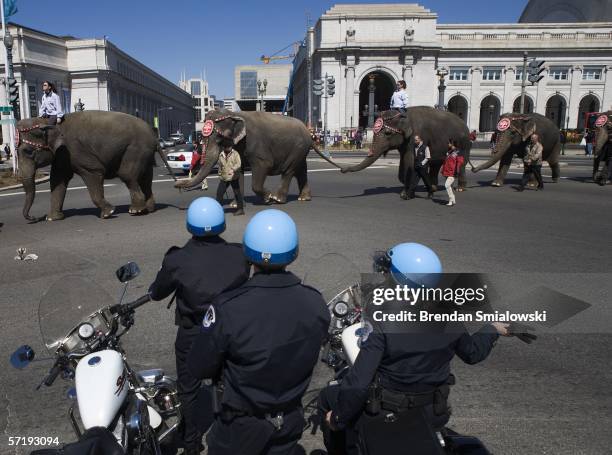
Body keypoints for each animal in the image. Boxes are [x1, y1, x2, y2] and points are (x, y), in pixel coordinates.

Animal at [17, 112, 171, 223]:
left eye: (28, 151)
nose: (36, 218)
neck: (49, 122)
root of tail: (154, 137)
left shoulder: (75, 150)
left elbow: (93, 173)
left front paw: (108, 213)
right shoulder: (62, 155)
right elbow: (58, 179)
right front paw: (52, 218)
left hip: (136, 149)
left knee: (128, 175)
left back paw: (135, 211)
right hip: (146, 154)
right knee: (146, 179)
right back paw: (149, 209)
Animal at [175, 110, 342, 203]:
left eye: (220, 138)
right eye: (202, 139)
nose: (177, 184)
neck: (236, 114)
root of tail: (310, 134)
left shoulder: (256, 144)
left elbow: (263, 166)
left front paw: (267, 198)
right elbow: (239, 170)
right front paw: (235, 204)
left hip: (298, 148)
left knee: (289, 171)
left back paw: (278, 199)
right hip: (301, 150)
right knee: (301, 171)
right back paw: (303, 198)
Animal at [342, 108, 470, 200]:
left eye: (388, 133)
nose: (342, 169)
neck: (403, 115)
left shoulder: (416, 136)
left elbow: (411, 163)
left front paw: (405, 194)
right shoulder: (405, 143)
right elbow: (405, 163)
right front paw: (406, 188)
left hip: (464, 143)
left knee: (461, 163)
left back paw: (460, 188)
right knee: (435, 164)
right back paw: (432, 187)